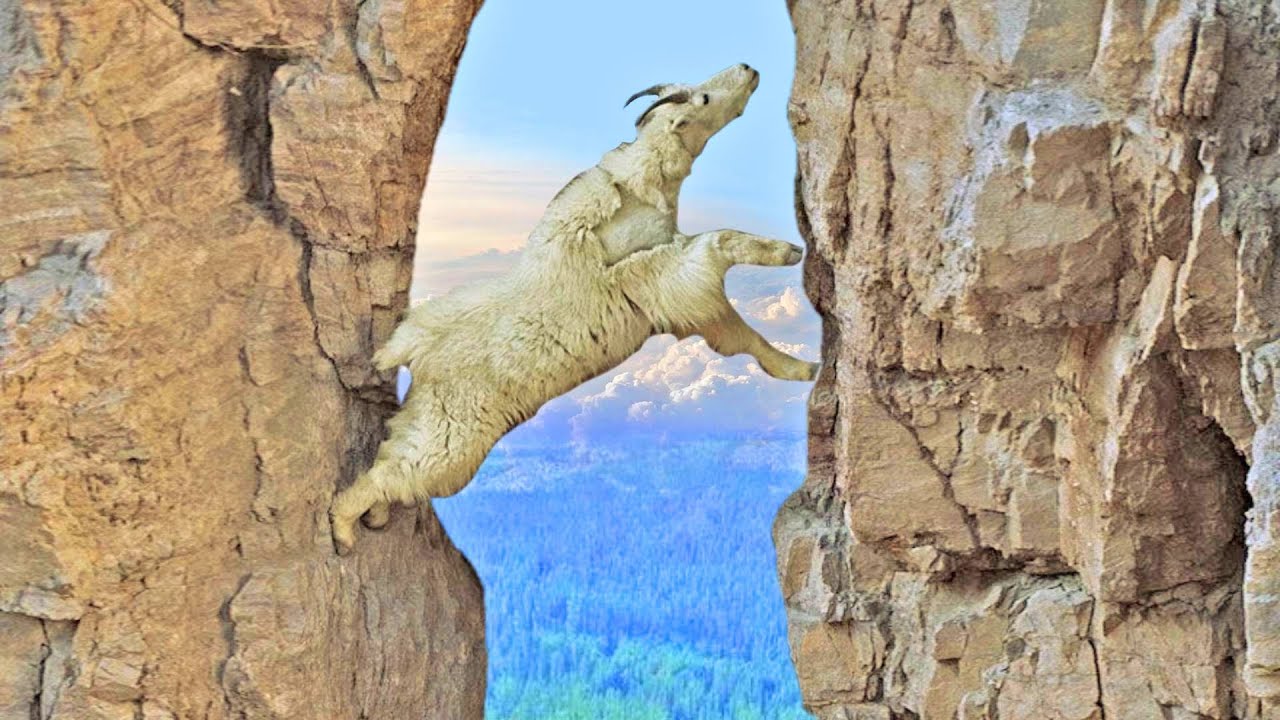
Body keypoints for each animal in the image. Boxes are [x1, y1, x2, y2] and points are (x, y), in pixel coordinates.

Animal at [331, 64, 817, 554]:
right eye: (702, 99)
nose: (748, 69)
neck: (636, 195)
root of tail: (417, 352)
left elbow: (739, 330)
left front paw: (803, 365)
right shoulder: (668, 276)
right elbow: (722, 249)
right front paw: (789, 255)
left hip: (427, 416)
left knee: (393, 455)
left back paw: (374, 518)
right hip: (453, 436)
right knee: (399, 473)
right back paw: (343, 529)